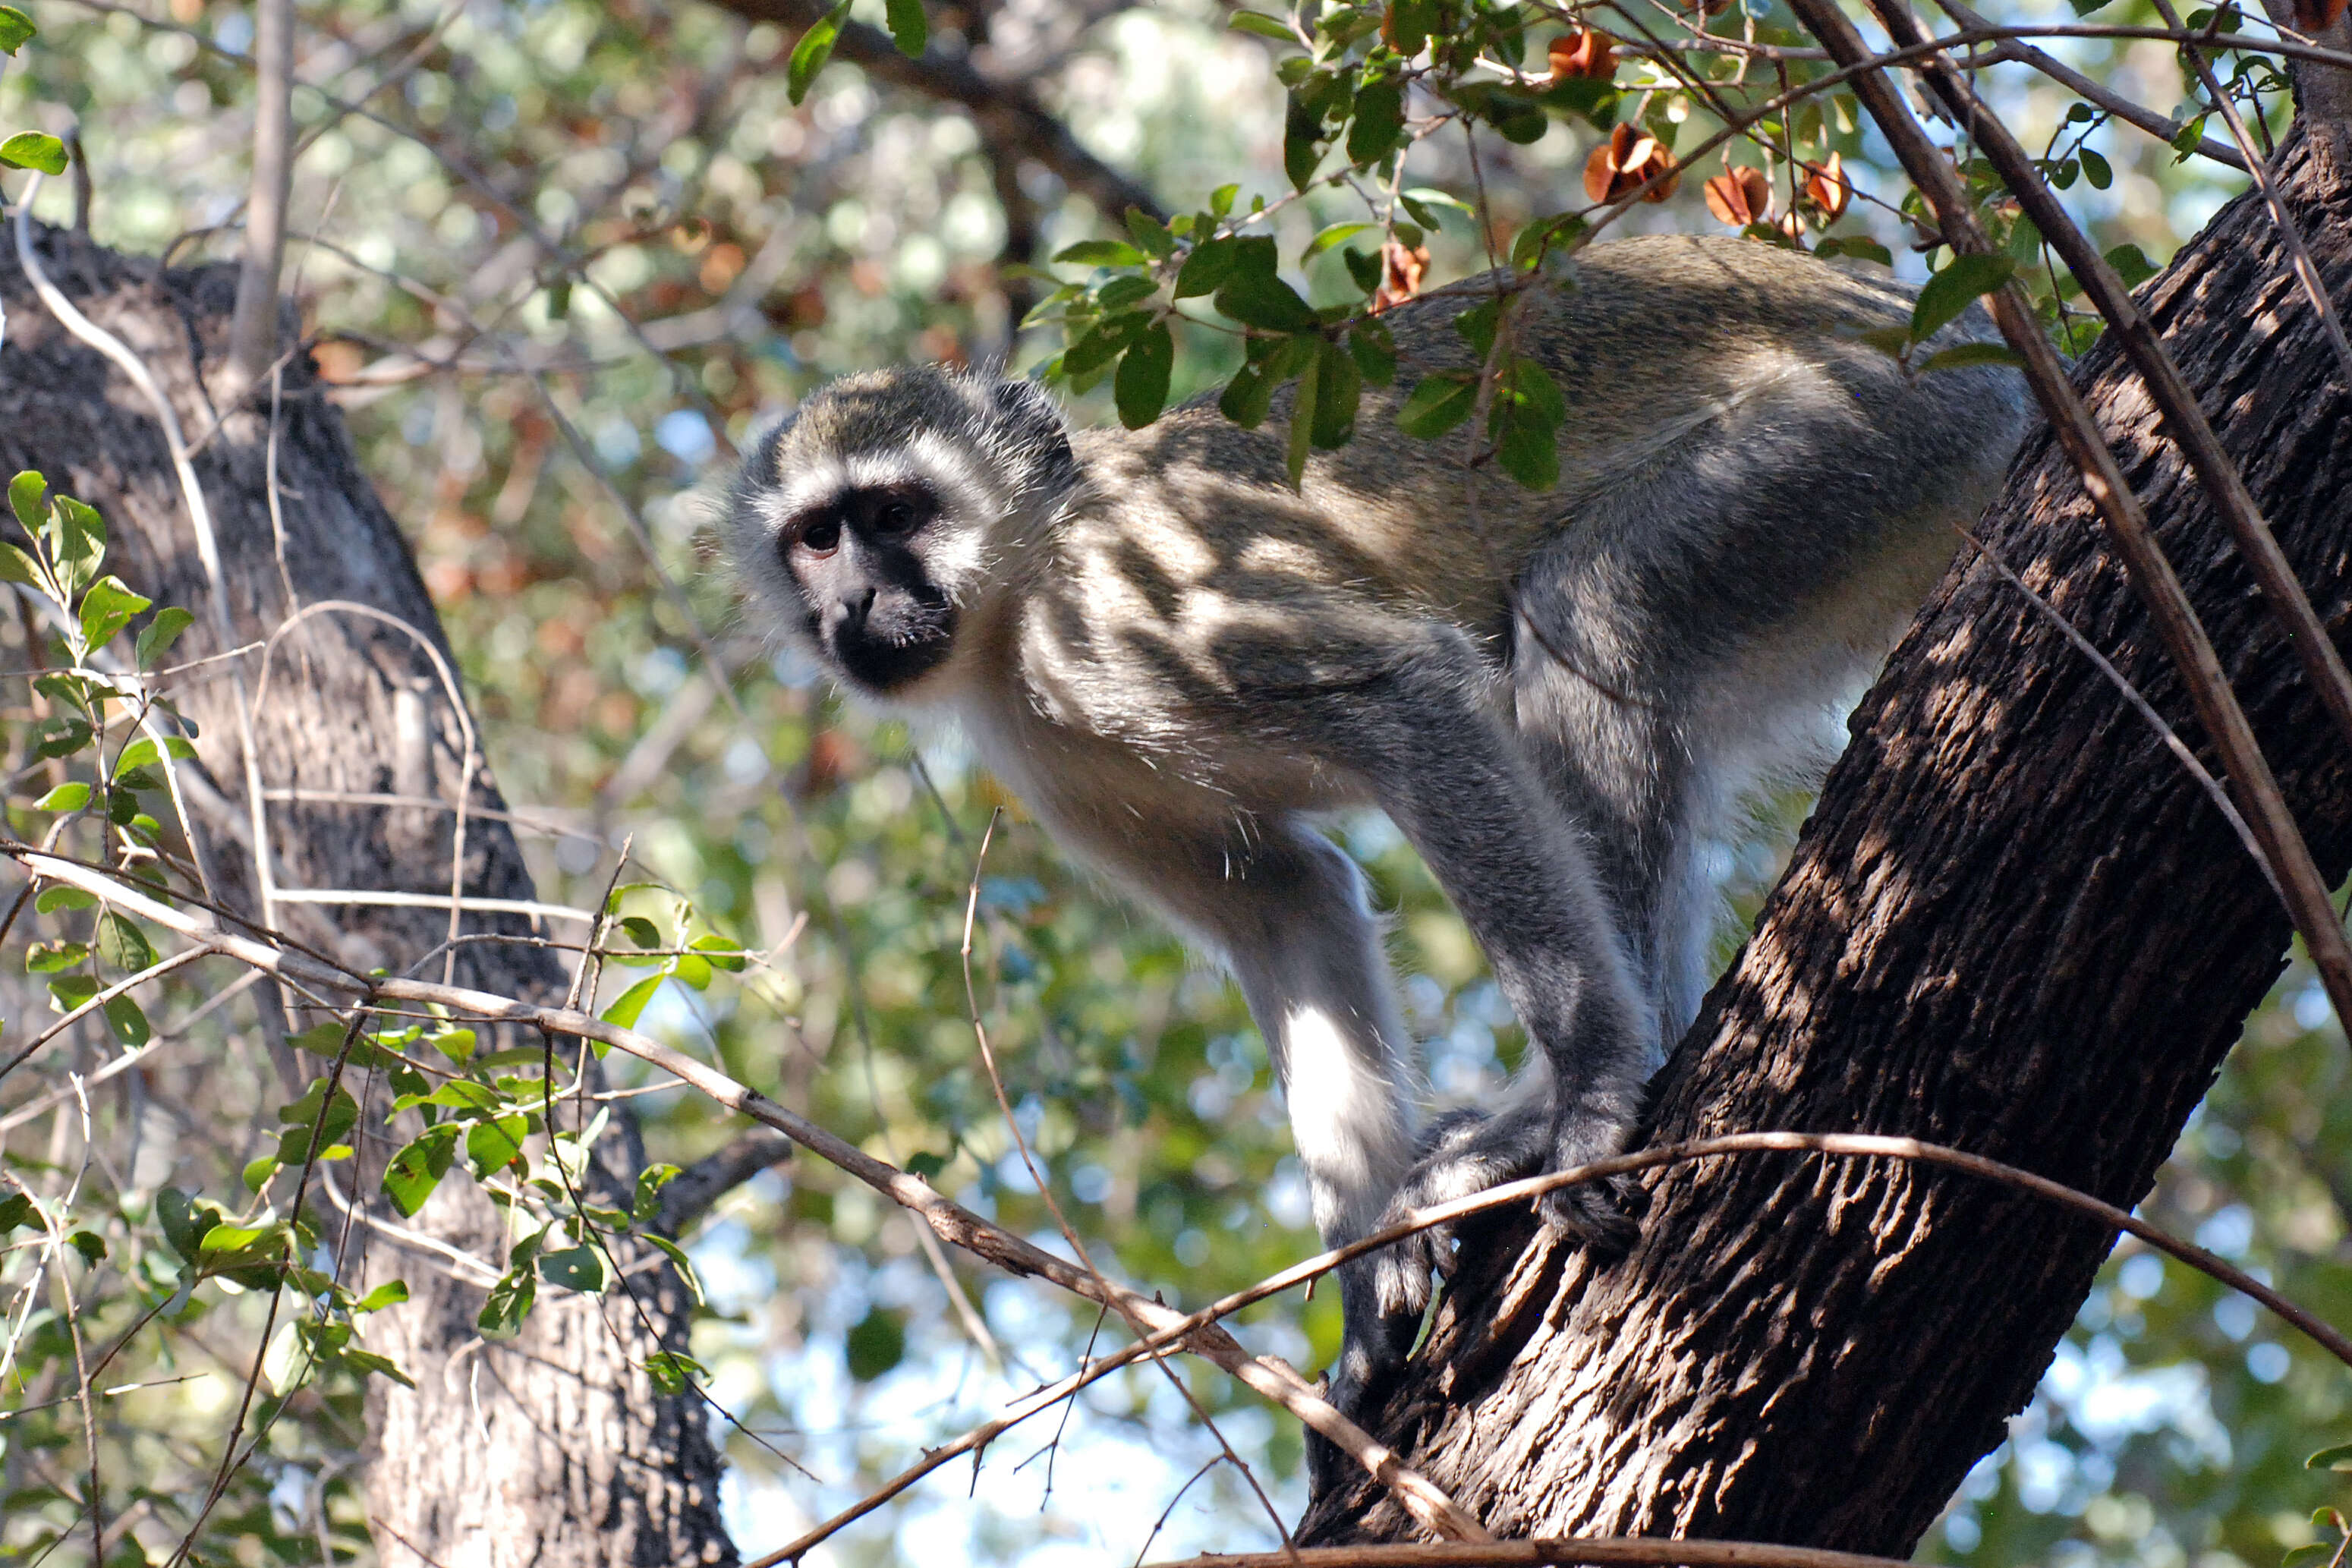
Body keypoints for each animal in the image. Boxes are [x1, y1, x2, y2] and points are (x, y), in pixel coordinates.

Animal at [724, 232, 2032, 1457]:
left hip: (1888, 427)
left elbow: (1411, 698)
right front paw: (1360, 1295)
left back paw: (1570, 1097)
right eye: (818, 537)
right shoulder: (1053, 761)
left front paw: (1595, 1087)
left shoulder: (1124, 613)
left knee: (1594, 605)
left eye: (896, 514)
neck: (1018, 591)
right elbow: (1285, 899)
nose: (856, 604)